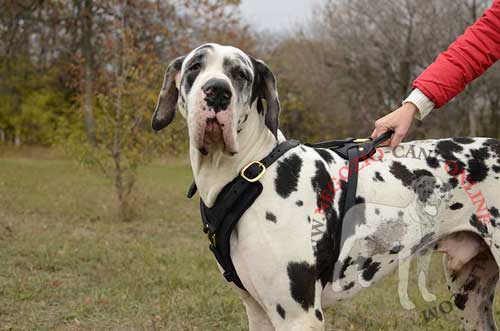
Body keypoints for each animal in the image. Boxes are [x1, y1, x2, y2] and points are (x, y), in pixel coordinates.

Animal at [150, 44, 500, 331]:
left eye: (240, 73)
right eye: (195, 67)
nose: (217, 91)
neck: (251, 171)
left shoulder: (299, 316)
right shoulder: (258, 311)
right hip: (469, 296)